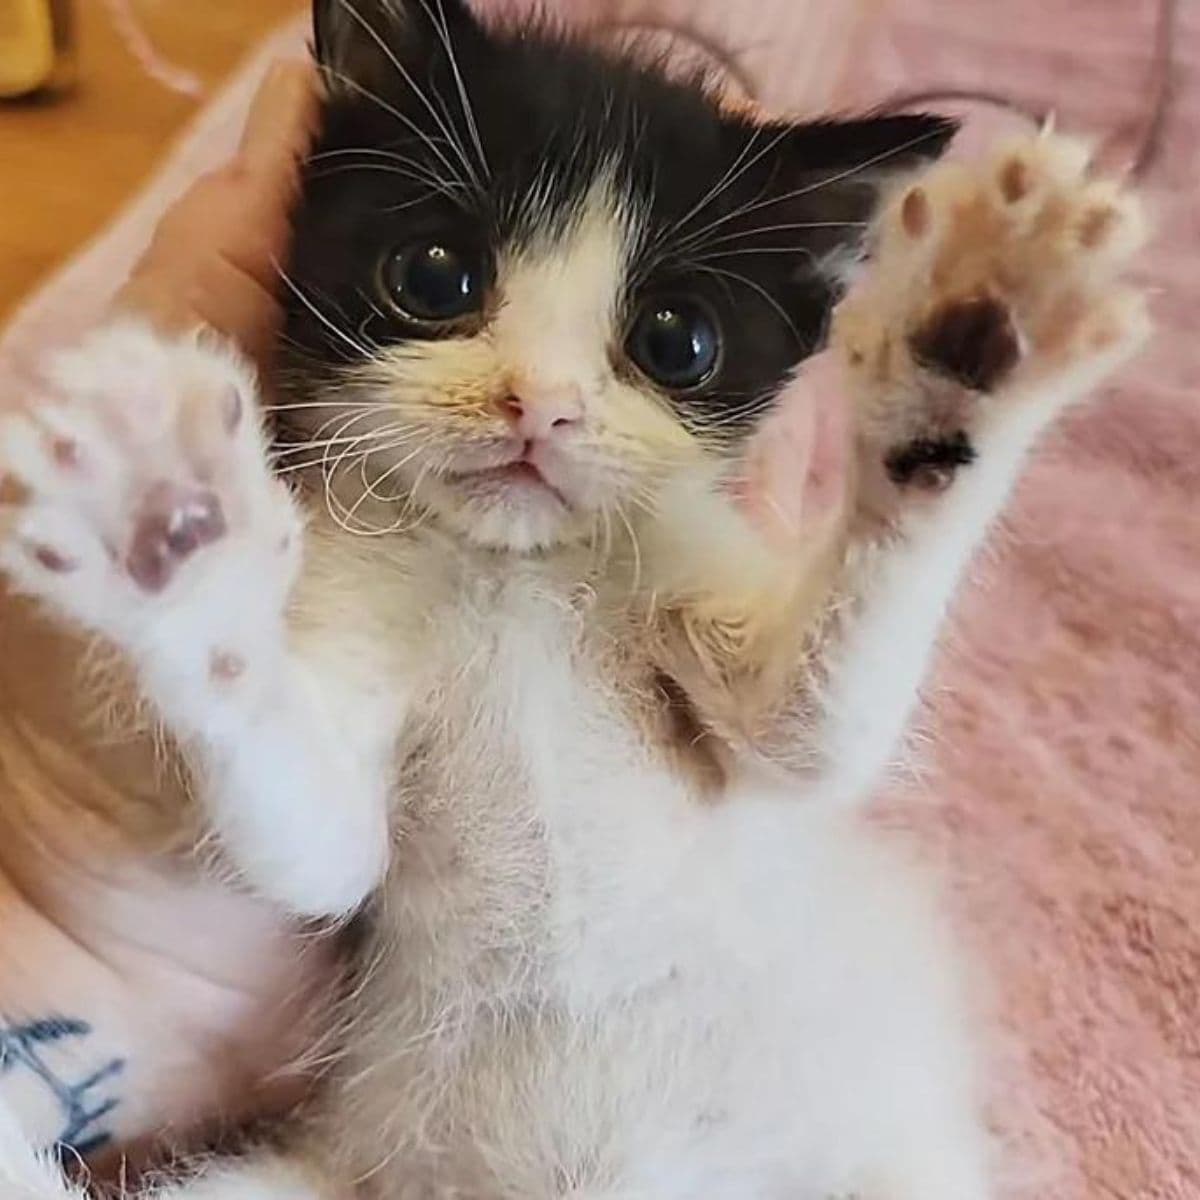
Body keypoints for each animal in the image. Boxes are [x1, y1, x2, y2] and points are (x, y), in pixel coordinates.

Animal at [0, 2, 1142, 1200]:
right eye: (434, 277)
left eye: (677, 342)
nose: (536, 405)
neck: (515, 575)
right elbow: (313, 849)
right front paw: (170, 538)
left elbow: (810, 734)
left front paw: (983, 336)